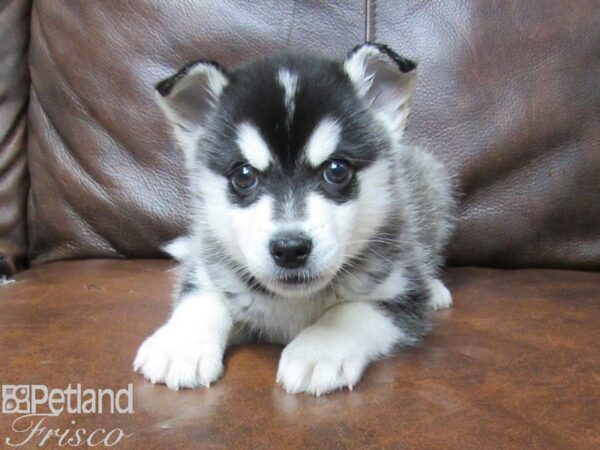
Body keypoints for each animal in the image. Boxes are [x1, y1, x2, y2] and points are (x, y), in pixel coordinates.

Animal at [135, 42, 454, 394]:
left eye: (336, 170)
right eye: (244, 176)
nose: (289, 249)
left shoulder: (404, 298)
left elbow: (354, 311)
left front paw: (320, 348)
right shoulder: (211, 266)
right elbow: (204, 298)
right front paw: (181, 346)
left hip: (432, 186)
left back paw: (435, 287)